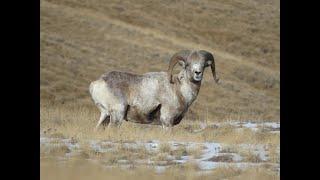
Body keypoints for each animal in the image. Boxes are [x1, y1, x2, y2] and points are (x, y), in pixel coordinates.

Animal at [90, 50, 220, 130]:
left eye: (203, 65)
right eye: (188, 64)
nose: (197, 73)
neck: (179, 90)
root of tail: (96, 83)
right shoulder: (167, 121)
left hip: (105, 115)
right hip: (117, 114)